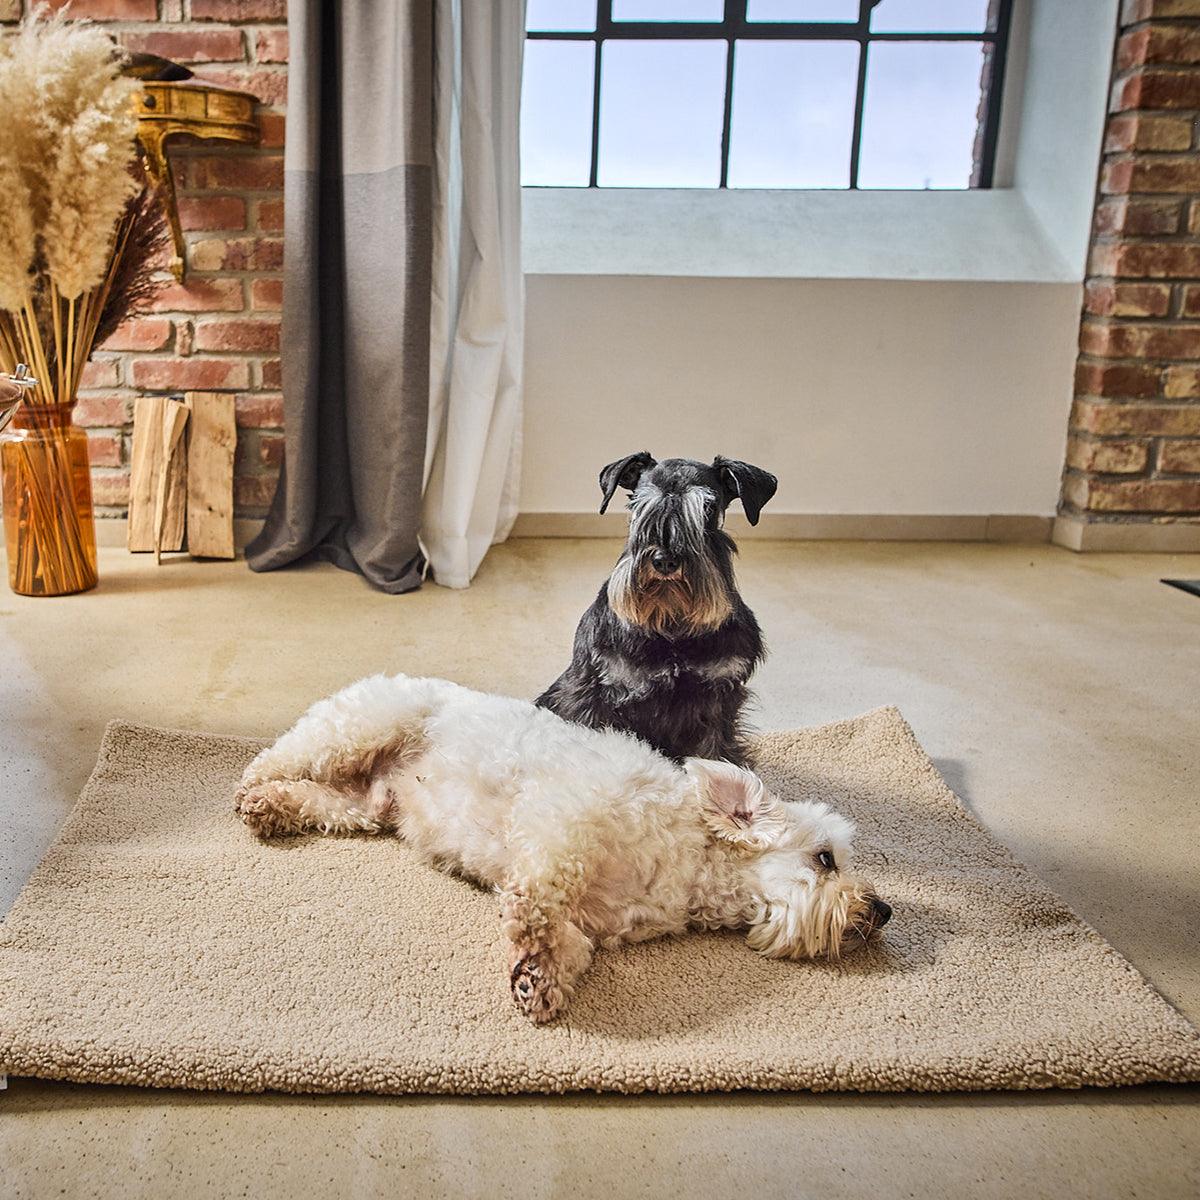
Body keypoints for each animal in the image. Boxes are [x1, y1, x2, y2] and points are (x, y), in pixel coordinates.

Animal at [236, 676, 892, 1022]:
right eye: (826, 859)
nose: (883, 910)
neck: (691, 860)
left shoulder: (597, 918)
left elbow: (573, 945)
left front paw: (540, 977)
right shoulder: (561, 824)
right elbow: (541, 894)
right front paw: (530, 939)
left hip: (365, 804)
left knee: (319, 800)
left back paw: (272, 807)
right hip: (359, 729)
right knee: (272, 758)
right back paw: (250, 793)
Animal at [537, 451, 777, 768]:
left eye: (708, 509)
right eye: (638, 506)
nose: (665, 560)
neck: (672, 626)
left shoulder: (719, 697)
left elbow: (714, 753)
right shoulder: (593, 693)